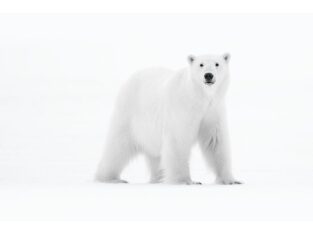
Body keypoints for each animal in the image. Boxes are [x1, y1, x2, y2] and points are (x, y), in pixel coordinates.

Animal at [95, 53, 241, 185]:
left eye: (217, 64)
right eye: (201, 64)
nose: (208, 75)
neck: (199, 98)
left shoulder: (212, 111)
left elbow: (215, 142)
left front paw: (231, 180)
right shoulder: (183, 110)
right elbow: (179, 140)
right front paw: (185, 181)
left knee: (154, 154)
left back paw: (158, 178)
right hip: (128, 114)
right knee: (118, 146)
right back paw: (110, 178)